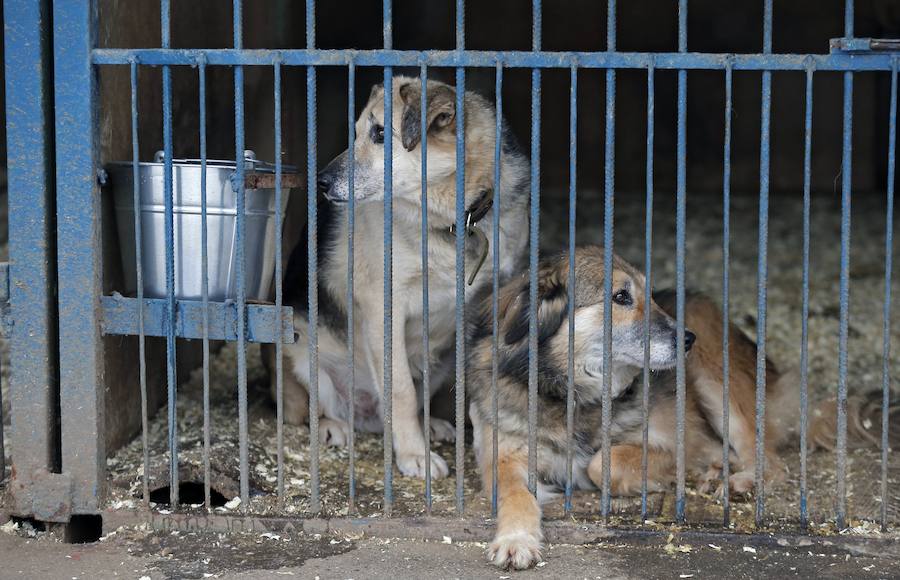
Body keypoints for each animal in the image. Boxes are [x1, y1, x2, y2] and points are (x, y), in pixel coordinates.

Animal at [268, 75, 536, 478]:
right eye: (356, 132)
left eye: (380, 133)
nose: (321, 182)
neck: (452, 224)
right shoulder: (384, 308)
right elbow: (402, 393)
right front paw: (414, 455)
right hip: (298, 350)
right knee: (306, 412)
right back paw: (333, 427)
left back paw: (431, 425)